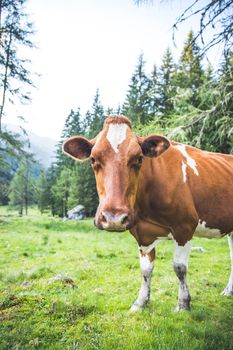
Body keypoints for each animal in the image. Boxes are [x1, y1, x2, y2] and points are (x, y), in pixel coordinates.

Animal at [63, 115, 233, 312]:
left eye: (138, 158)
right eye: (93, 159)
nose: (114, 218)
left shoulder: (185, 226)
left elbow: (180, 268)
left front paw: (183, 304)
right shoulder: (142, 233)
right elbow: (145, 269)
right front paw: (140, 302)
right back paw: (228, 291)